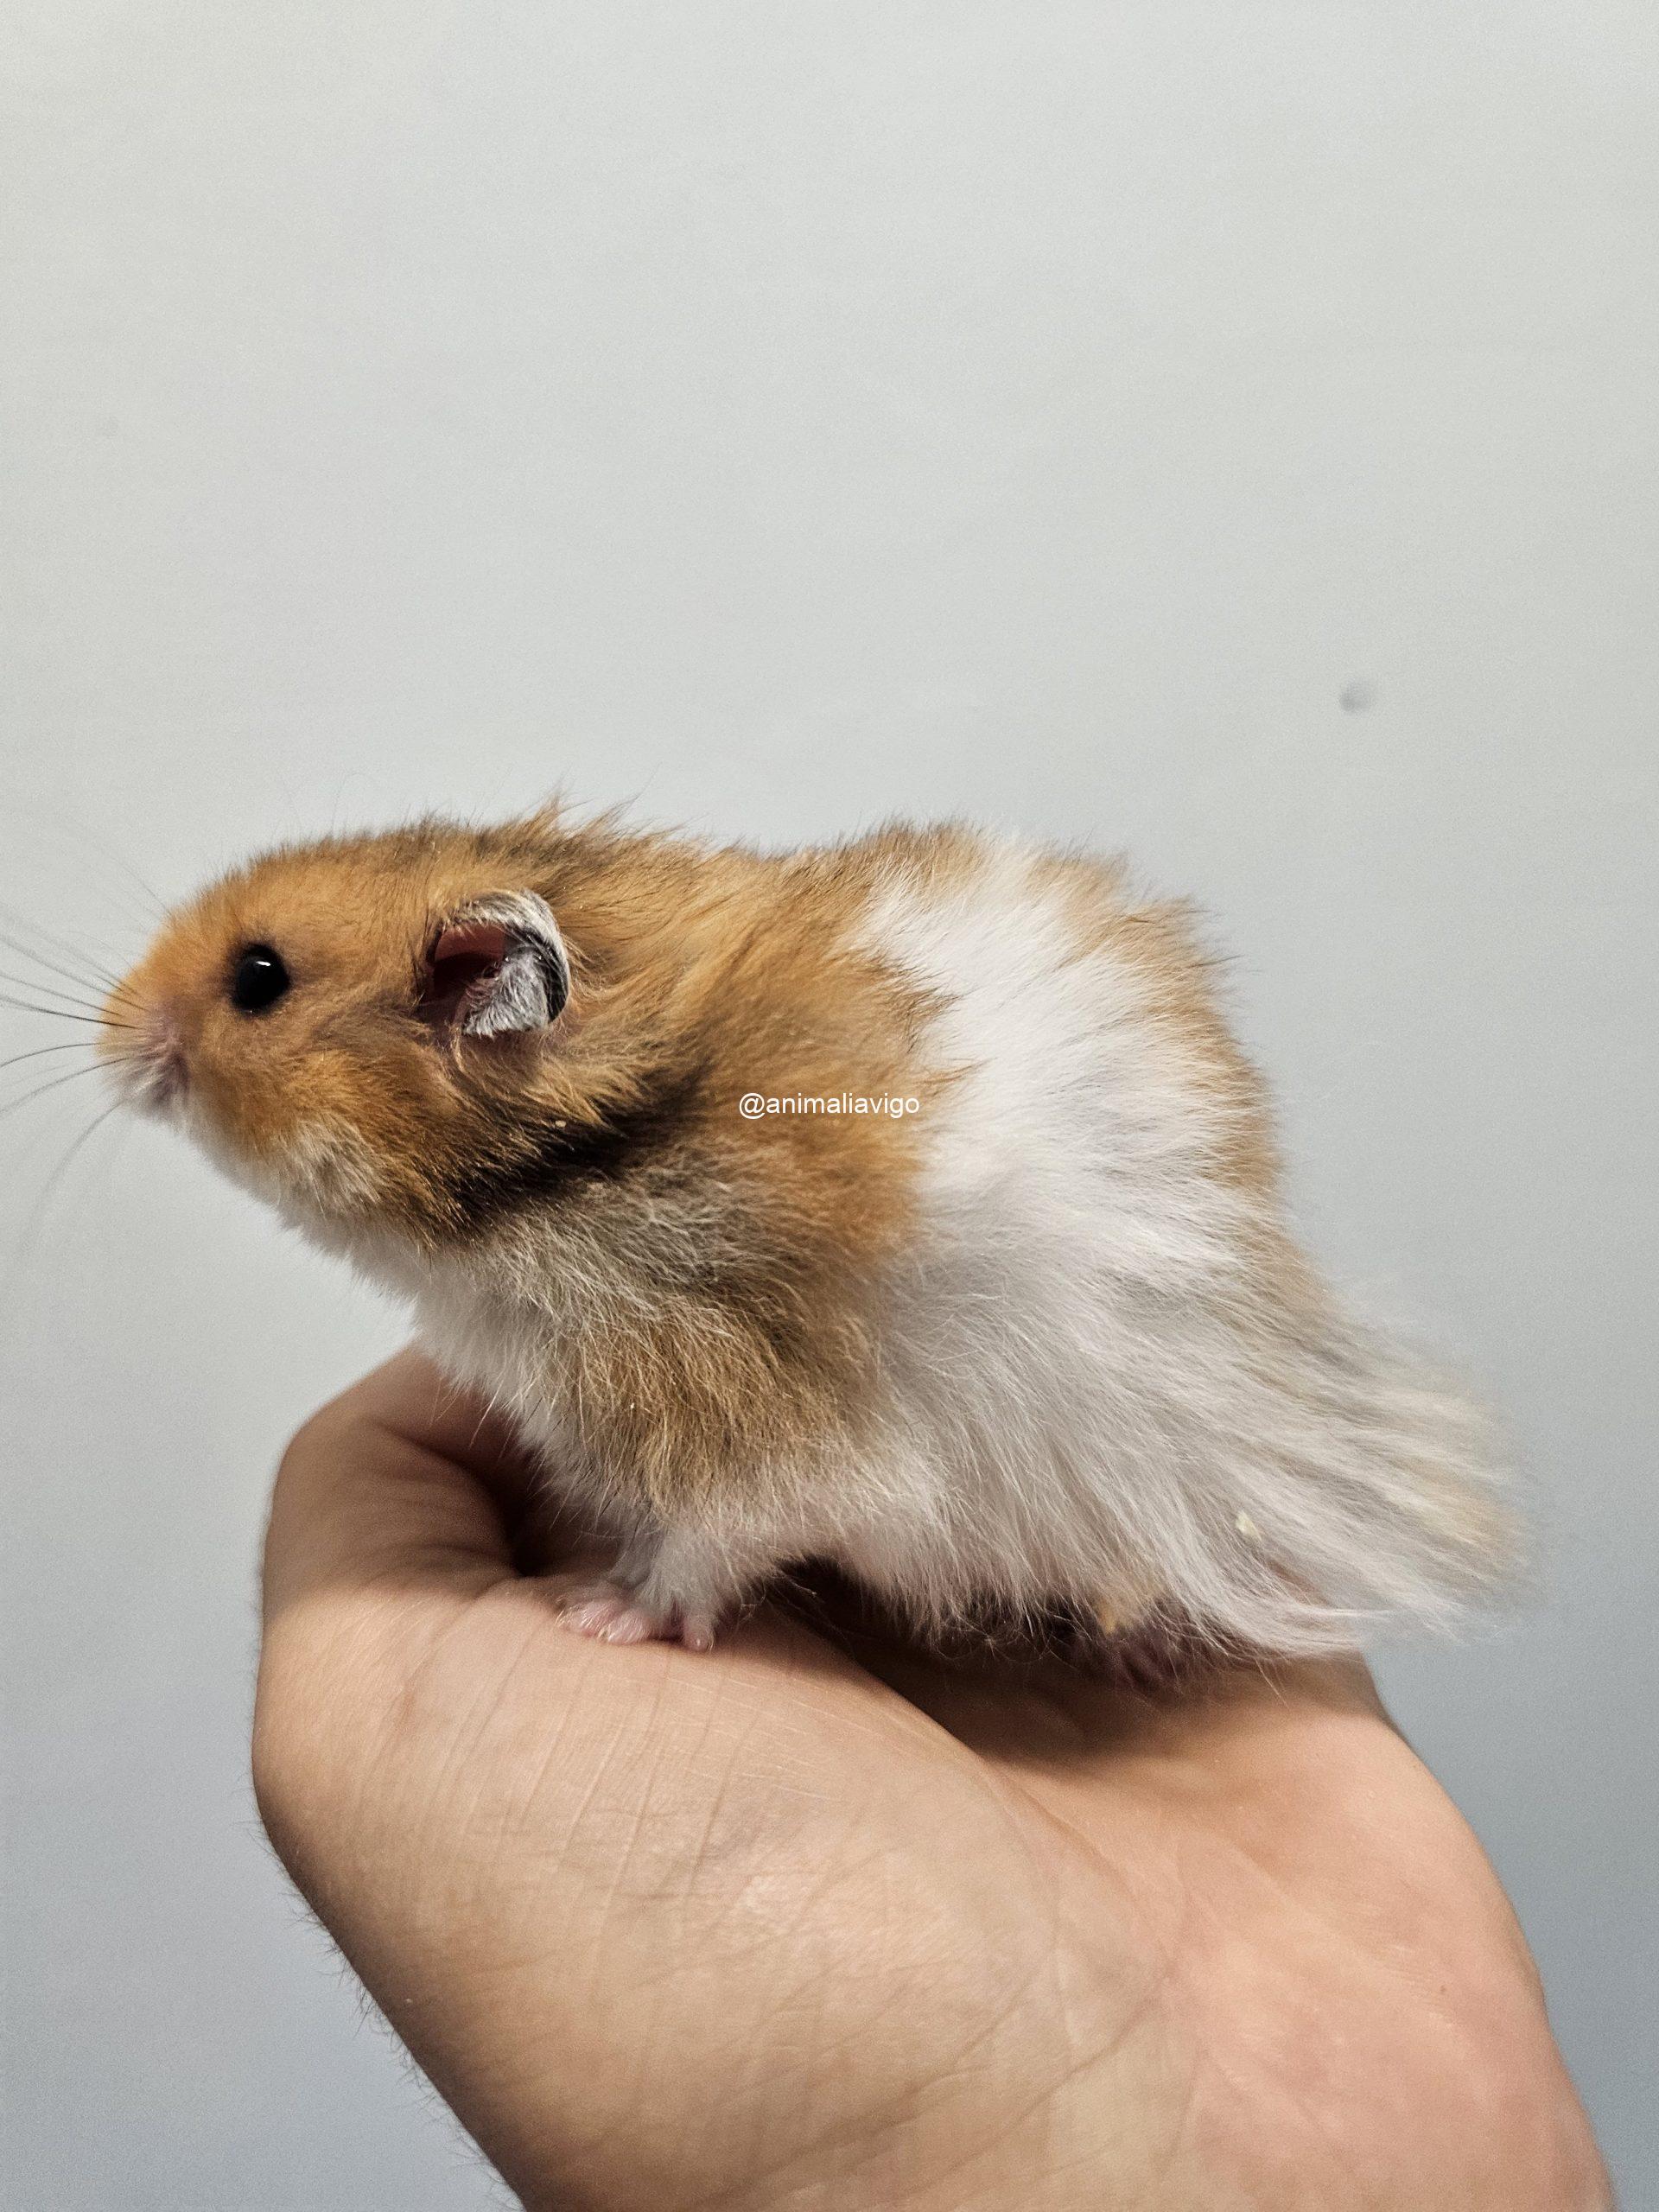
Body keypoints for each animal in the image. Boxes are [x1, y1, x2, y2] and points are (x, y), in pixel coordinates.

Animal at [102, 807, 1514, 1656]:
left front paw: (598, 1613)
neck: (569, 1176)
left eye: (259, 979)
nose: (114, 1030)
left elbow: (703, 1549)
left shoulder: (746, 1426)